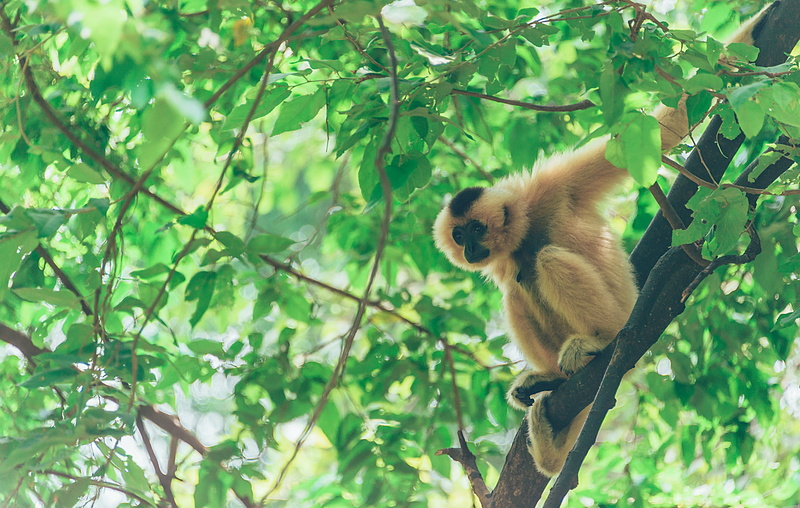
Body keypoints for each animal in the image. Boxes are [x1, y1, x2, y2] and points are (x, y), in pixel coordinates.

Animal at [432, 5, 775, 477]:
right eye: (459, 234)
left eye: (476, 229)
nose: (467, 248)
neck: (524, 225)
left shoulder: (555, 184)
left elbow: (669, 125)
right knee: (516, 288)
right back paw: (552, 380)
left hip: (623, 318)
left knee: (545, 261)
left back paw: (597, 341)